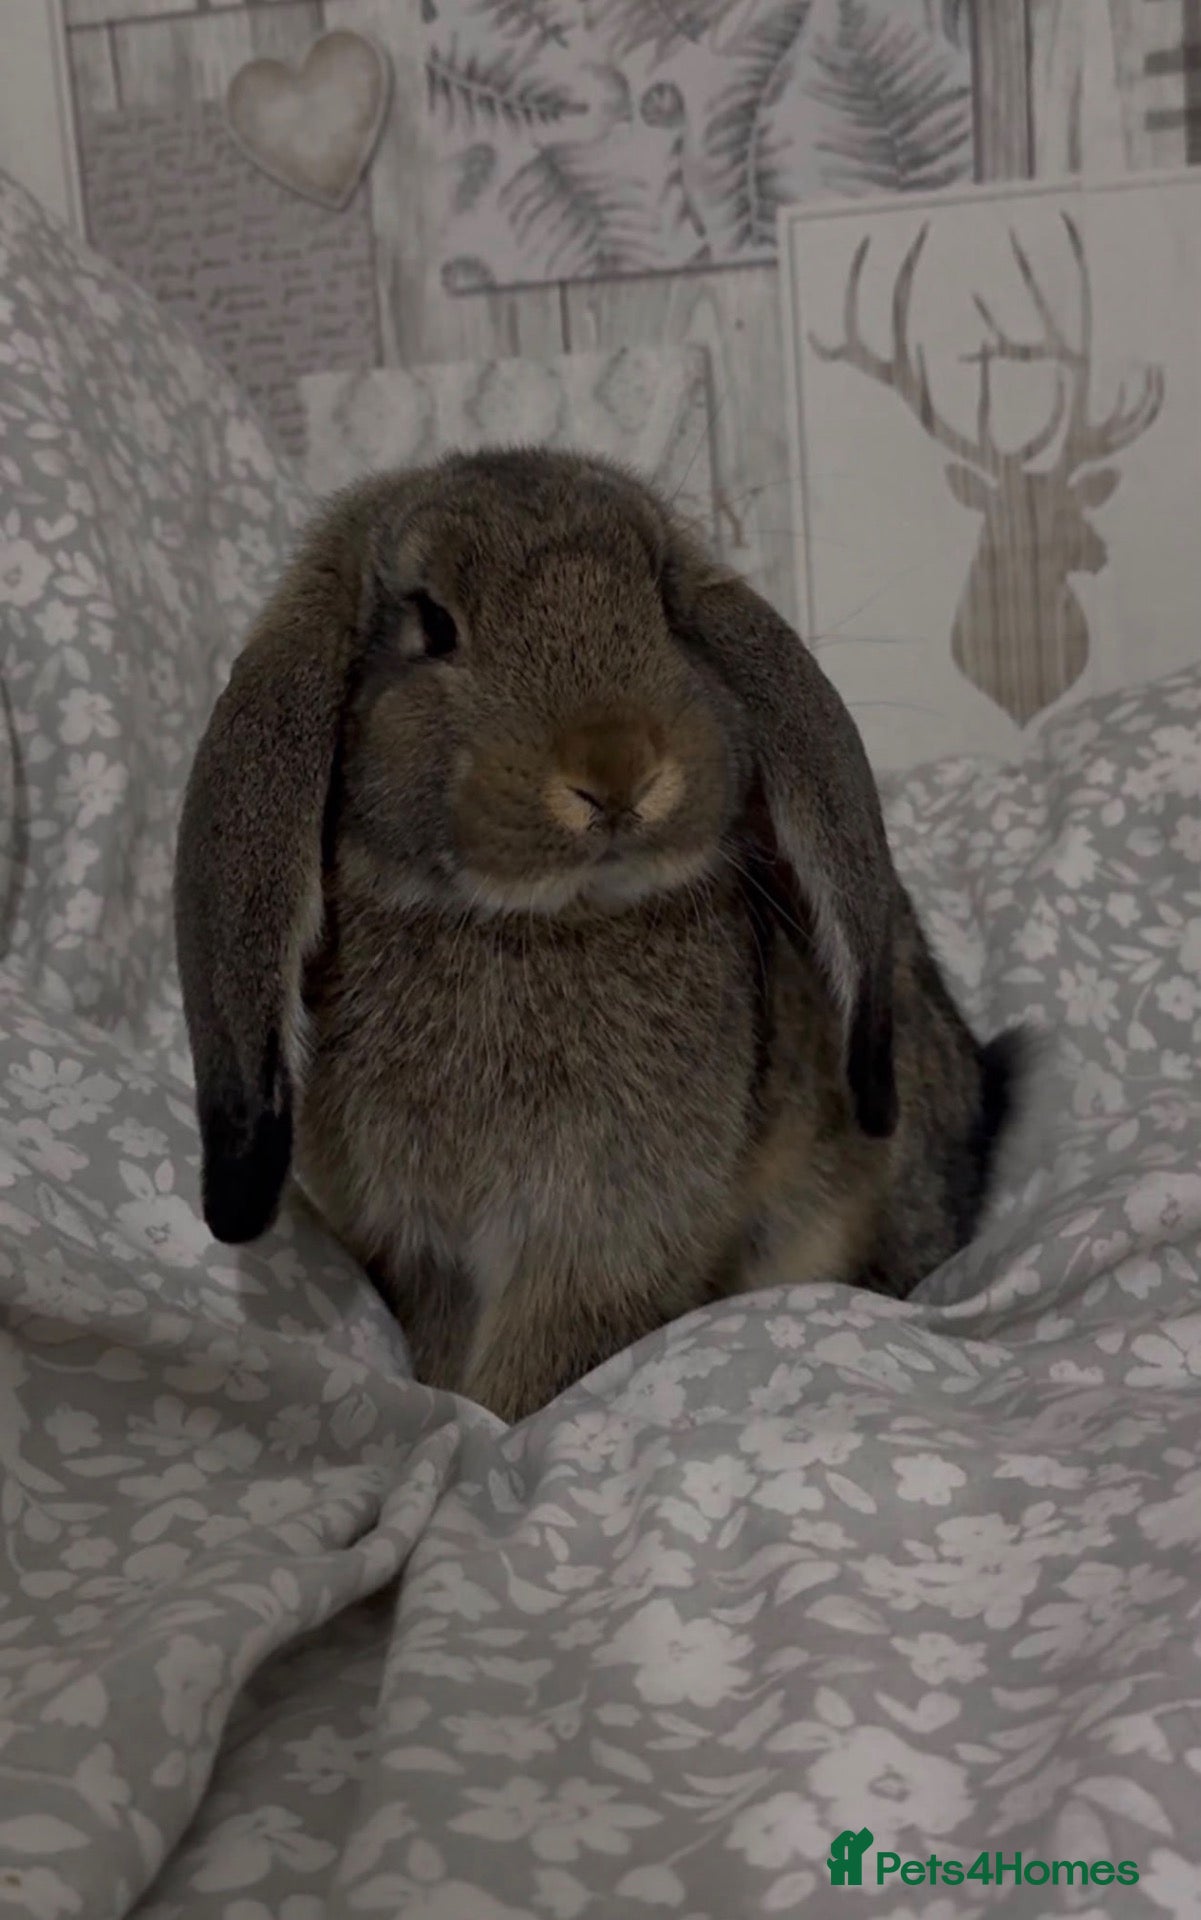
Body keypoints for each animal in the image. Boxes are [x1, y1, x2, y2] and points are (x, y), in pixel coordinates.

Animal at [174, 448, 1021, 1424]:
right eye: (431, 624)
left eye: (662, 607)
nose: (615, 769)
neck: (538, 920)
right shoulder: (424, 1246)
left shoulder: (602, 1233)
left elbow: (547, 1350)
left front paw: (498, 1423)